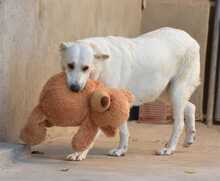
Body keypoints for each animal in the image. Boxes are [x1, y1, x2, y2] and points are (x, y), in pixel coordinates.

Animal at [59, 27, 200, 160]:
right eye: (70, 65)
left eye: (85, 68)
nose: (75, 88)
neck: (102, 66)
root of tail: (190, 38)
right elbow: (122, 129)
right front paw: (121, 150)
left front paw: (80, 152)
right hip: (163, 92)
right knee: (190, 106)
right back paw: (189, 138)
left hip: (177, 90)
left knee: (179, 122)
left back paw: (169, 148)